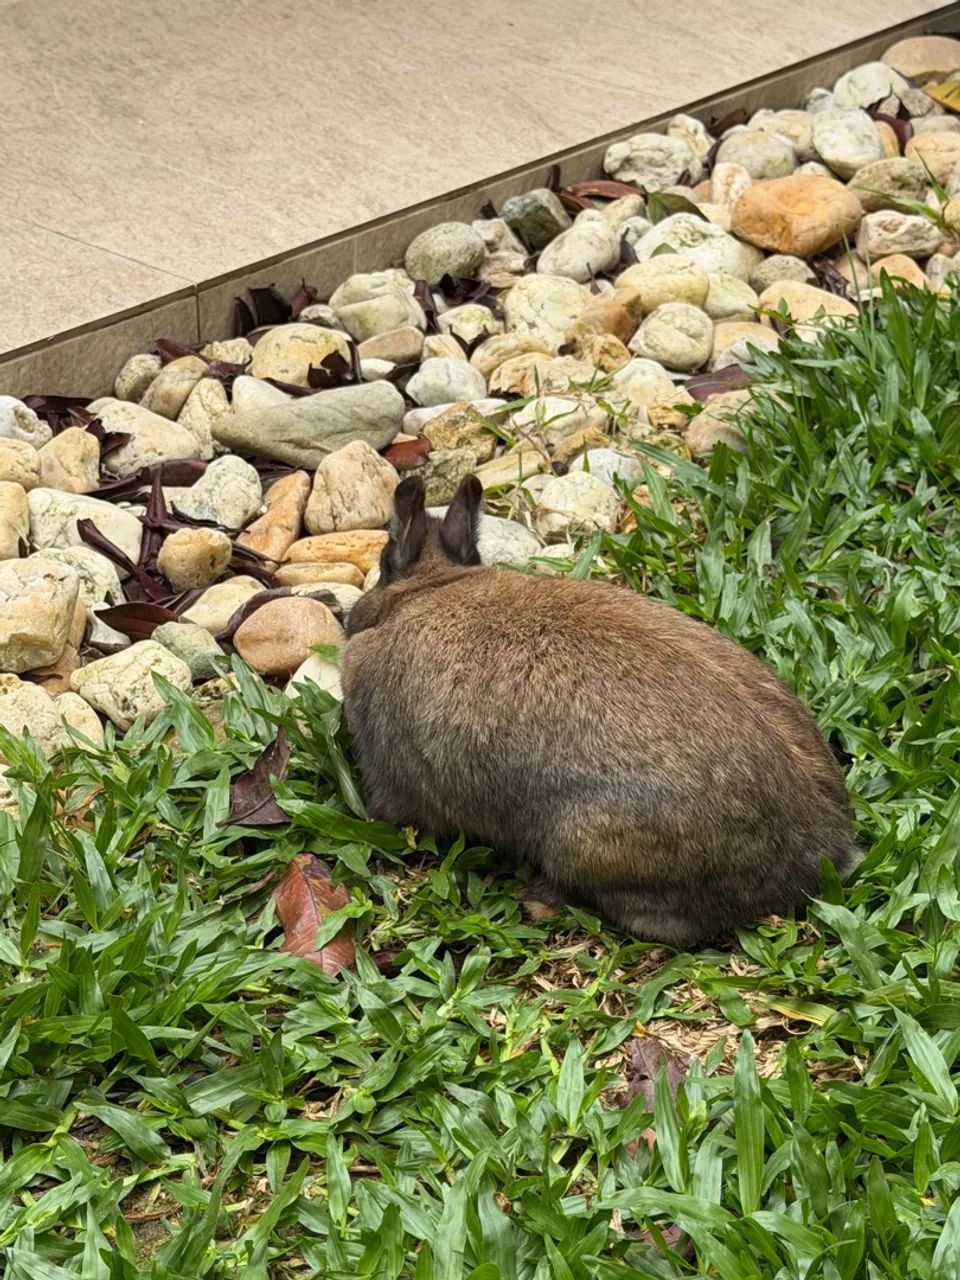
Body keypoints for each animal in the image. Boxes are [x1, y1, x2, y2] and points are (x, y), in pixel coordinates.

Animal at [341, 473, 860, 947]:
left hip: (585, 844)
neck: (428, 590)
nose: (350, 621)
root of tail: (823, 849)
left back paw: (539, 899)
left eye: (383, 566)